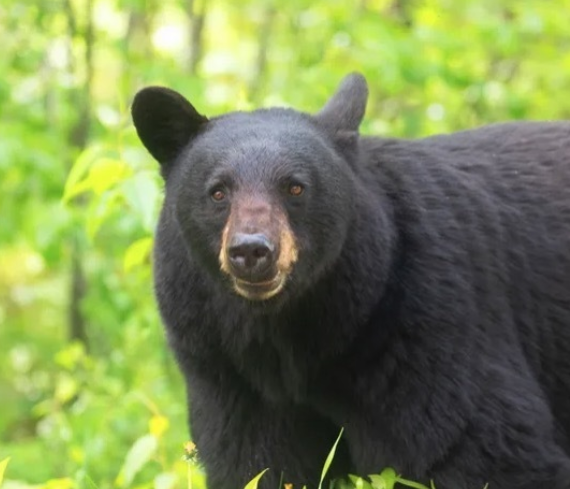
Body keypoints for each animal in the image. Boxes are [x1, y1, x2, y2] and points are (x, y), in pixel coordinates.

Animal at [131, 73, 568, 488]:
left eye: (295, 186)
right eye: (218, 192)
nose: (252, 251)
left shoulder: (427, 332)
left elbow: (482, 449)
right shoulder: (226, 373)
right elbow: (257, 465)